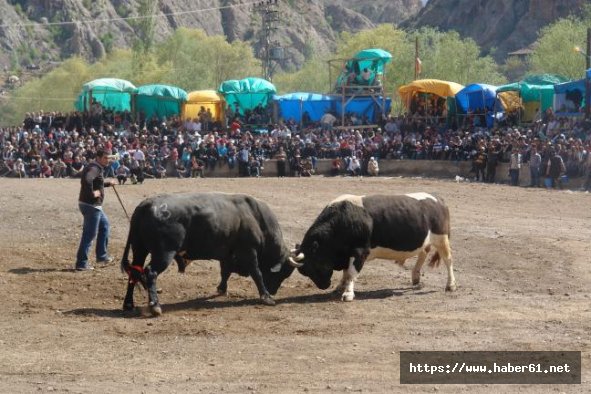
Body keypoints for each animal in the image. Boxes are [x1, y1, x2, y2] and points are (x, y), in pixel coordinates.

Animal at [119, 192, 300, 316]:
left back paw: (128, 304)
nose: (274, 291)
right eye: (282, 274)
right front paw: (266, 297)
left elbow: (225, 272)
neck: (255, 217)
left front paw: (222, 289)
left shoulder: (227, 254)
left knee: (135, 272)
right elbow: (257, 273)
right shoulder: (248, 251)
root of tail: (147, 204)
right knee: (150, 272)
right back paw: (155, 305)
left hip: (139, 249)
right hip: (163, 253)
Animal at [292, 194, 458, 302]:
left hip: (441, 238)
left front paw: (348, 293)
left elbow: (351, 273)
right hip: (425, 240)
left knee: (448, 260)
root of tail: (438, 199)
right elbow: (346, 273)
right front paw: (340, 287)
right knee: (423, 253)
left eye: (314, 265)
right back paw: (416, 277)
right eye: (305, 271)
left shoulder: (359, 252)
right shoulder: (347, 253)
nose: (323, 286)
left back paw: (450, 285)